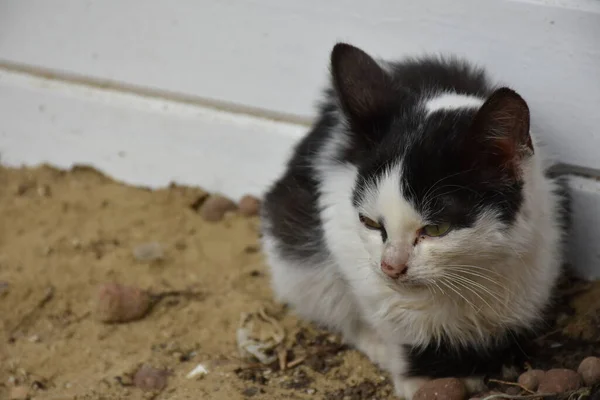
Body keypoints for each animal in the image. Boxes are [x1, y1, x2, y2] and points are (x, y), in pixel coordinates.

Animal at [258, 42, 568, 398]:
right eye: (370, 223)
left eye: (436, 228)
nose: (391, 267)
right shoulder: (341, 230)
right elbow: (396, 319)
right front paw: (425, 376)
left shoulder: (540, 248)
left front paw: (499, 357)